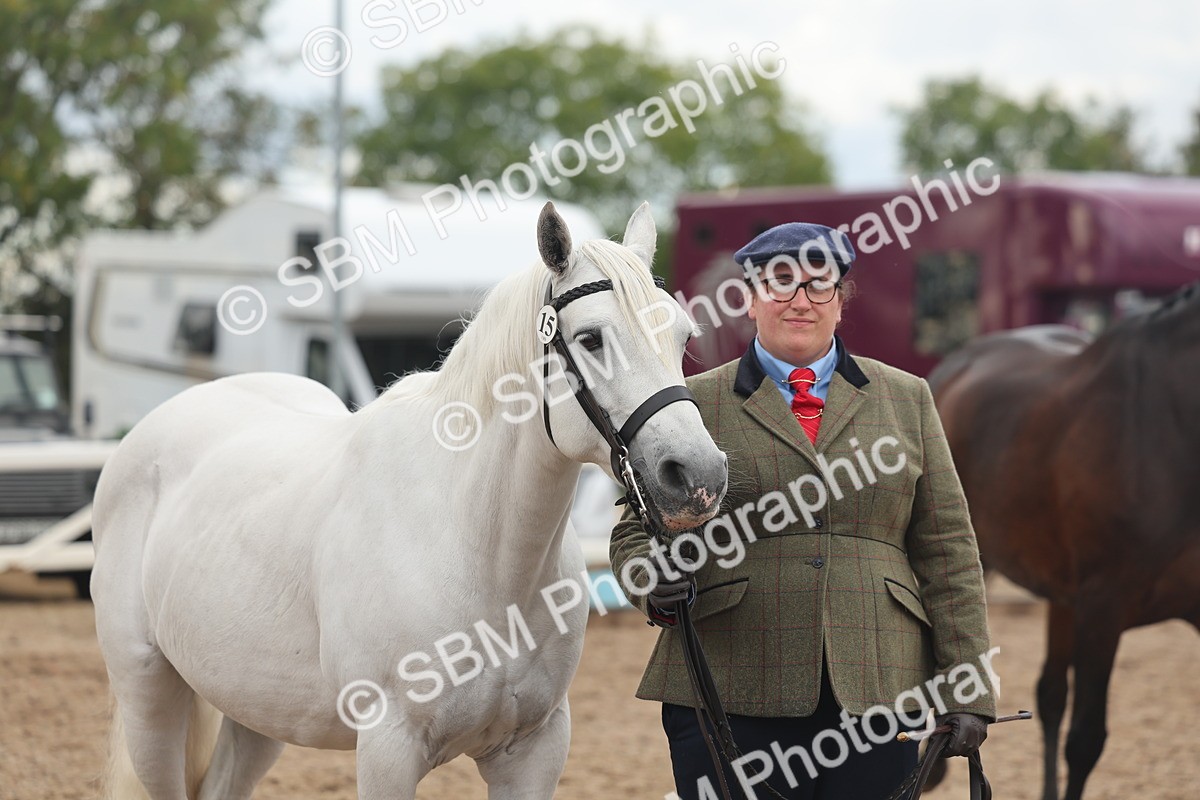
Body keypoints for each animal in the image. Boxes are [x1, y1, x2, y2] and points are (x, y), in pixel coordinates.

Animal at [89, 202, 729, 800]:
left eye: (681, 335)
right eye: (590, 338)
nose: (698, 474)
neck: (477, 549)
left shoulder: (535, 748)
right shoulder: (388, 750)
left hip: (258, 710)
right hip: (150, 694)